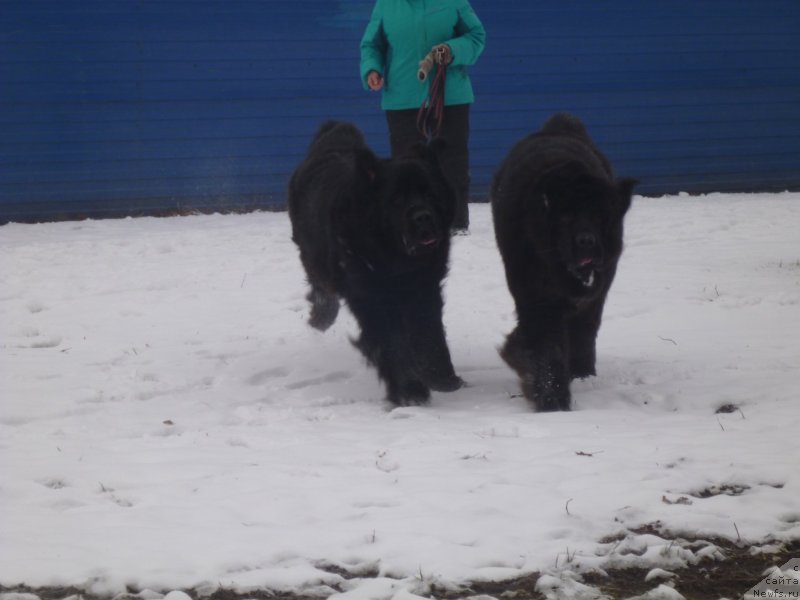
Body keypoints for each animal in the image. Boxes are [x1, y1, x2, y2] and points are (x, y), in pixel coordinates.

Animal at [288, 119, 462, 406]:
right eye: (397, 199)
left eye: (430, 194)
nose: (423, 217)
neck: (391, 253)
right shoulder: (372, 296)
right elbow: (392, 342)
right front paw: (410, 390)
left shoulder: (424, 286)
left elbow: (428, 330)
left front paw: (442, 377)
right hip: (312, 251)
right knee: (320, 283)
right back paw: (322, 316)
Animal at [488, 113, 636, 412]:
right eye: (567, 217)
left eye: (601, 216)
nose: (587, 241)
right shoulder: (538, 297)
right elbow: (546, 347)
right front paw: (552, 399)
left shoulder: (596, 290)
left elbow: (581, 332)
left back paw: (582, 373)